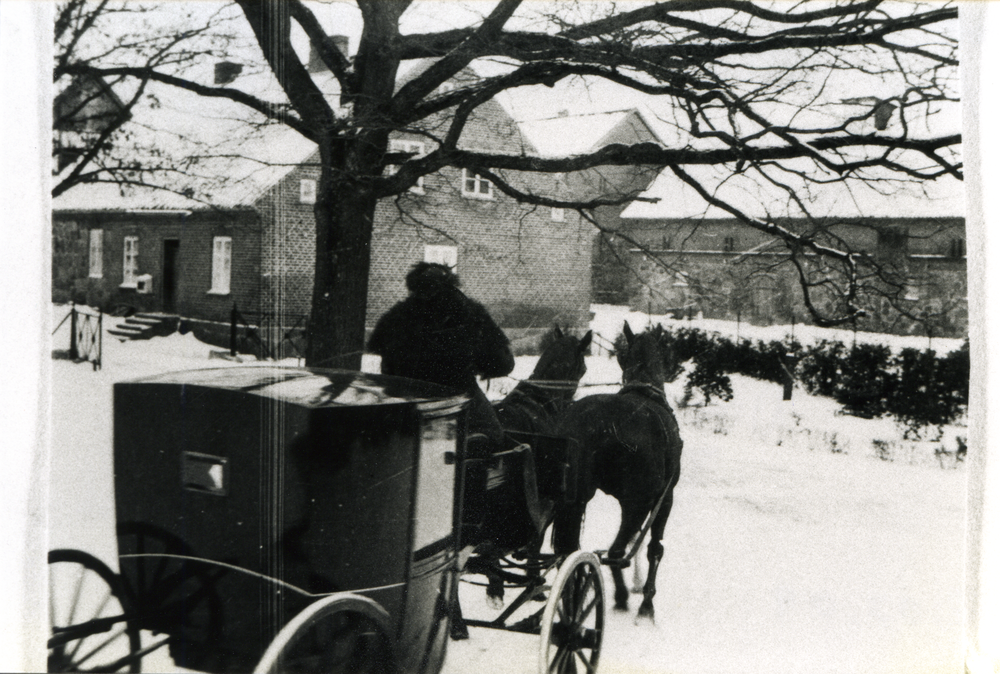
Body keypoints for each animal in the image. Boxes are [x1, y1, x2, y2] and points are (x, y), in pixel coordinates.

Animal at [552, 320, 684, 620]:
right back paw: (621, 597)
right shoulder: (663, 498)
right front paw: (646, 601)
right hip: (638, 502)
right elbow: (654, 548)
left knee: (571, 552)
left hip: (575, 500)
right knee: (616, 551)